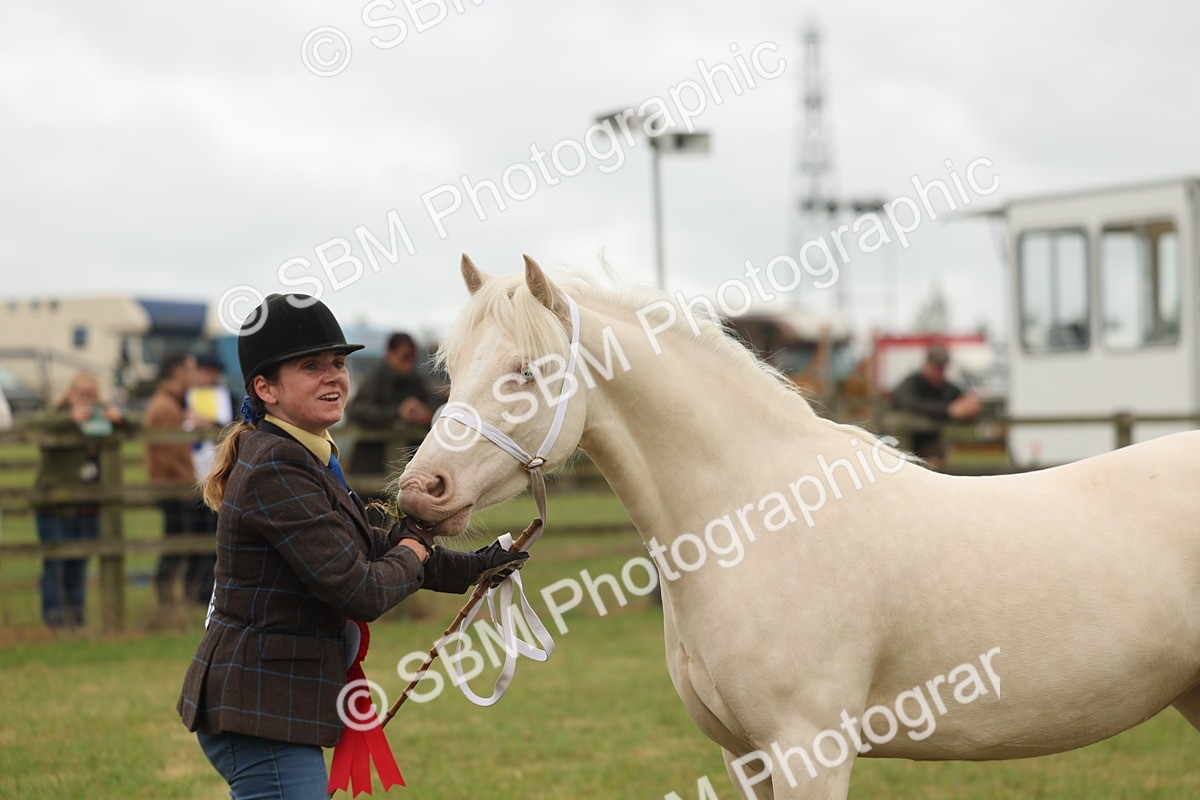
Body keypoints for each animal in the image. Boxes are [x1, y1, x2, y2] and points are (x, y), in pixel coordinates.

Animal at [398, 255, 1200, 799]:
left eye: (526, 371)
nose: (419, 489)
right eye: (452, 367)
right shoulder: (746, 758)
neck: (756, 517)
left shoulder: (808, 750)